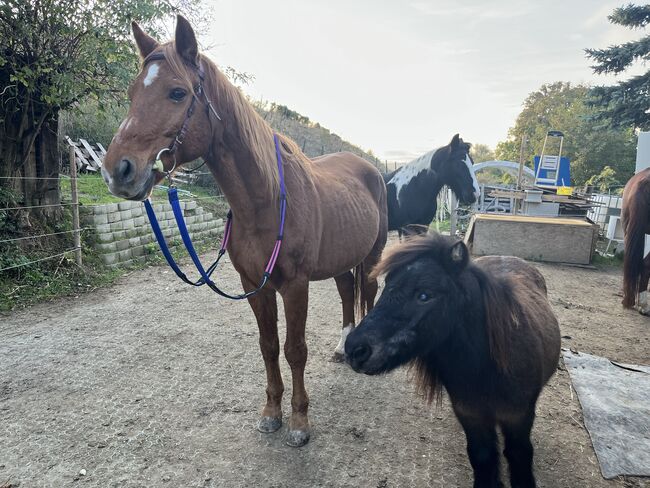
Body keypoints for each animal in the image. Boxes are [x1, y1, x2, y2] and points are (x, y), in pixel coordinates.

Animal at [100, 17, 384, 446]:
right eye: (133, 93)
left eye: (177, 93)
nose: (118, 170)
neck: (266, 200)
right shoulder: (254, 284)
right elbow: (268, 347)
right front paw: (272, 412)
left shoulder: (295, 286)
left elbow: (295, 349)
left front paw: (299, 422)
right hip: (341, 257)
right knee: (347, 291)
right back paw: (342, 346)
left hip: (372, 252)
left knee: (367, 289)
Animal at [346, 234, 560, 486]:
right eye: (386, 285)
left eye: (424, 295)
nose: (355, 349)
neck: (488, 371)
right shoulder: (471, 417)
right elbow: (483, 457)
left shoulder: (518, 418)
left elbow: (519, 458)